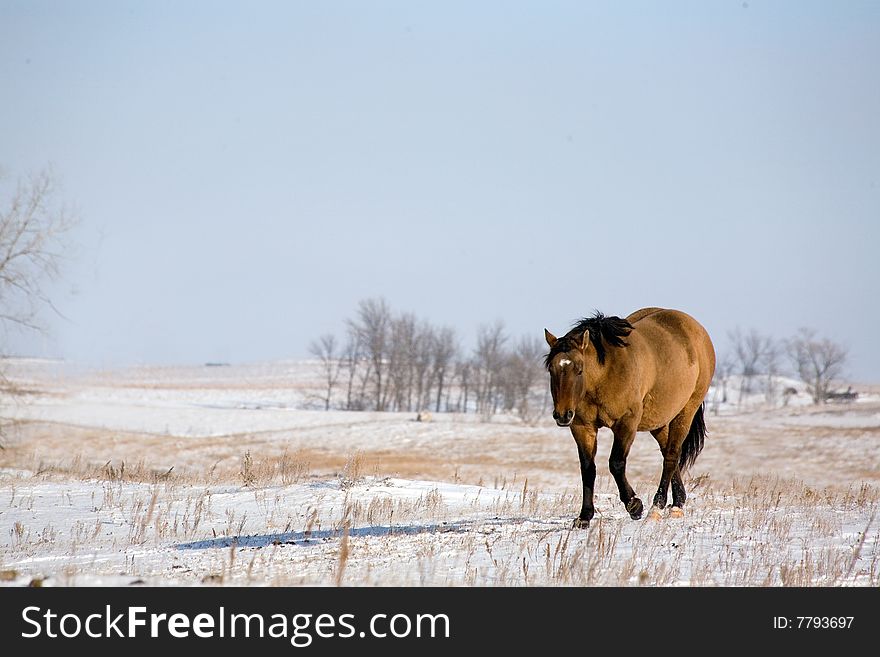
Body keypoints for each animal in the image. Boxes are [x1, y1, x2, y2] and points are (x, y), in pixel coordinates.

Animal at [544, 308, 716, 528]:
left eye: (579, 369)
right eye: (552, 370)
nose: (562, 415)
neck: (606, 373)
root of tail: (696, 329)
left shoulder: (626, 423)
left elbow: (616, 463)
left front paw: (634, 505)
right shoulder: (582, 427)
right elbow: (588, 469)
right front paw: (584, 516)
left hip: (685, 412)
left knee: (671, 456)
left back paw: (659, 507)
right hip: (658, 421)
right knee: (669, 453)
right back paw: (678, 502)